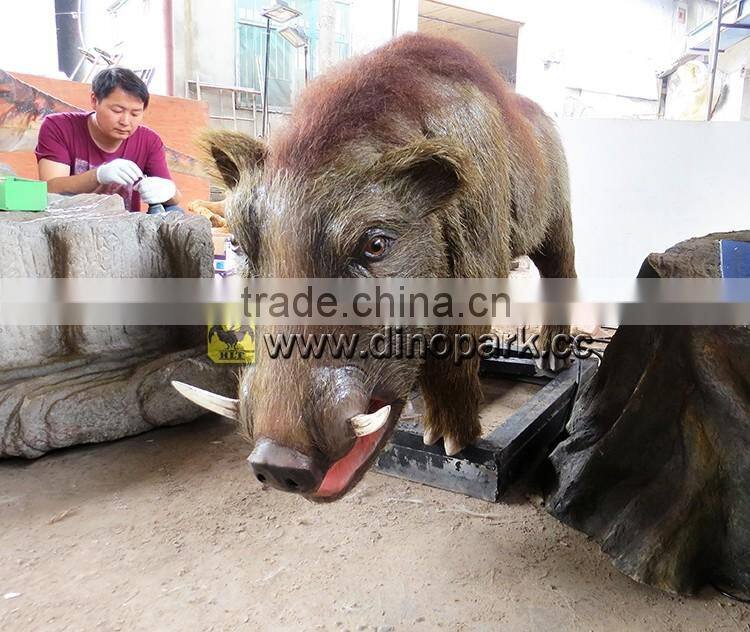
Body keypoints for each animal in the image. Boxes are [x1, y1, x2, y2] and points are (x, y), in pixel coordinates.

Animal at [174, 33, 576, 501]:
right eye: (237, 241)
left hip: (558, 221)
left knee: (562, 270)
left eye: (376, 244)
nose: (276, 463)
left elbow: (453, 355)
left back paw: (553, 362)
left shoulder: (477, 268)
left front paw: (450, 444)